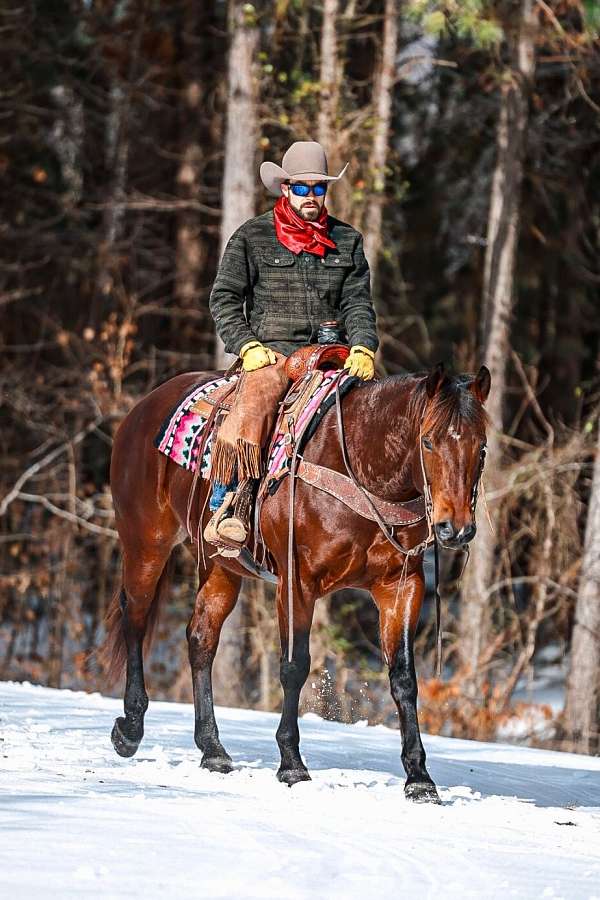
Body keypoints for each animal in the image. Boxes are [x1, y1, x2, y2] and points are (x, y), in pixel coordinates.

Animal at [103, 361, 490, 803]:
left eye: (481, 448)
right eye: (428, 441)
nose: (455, 529)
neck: (360, 470)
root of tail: (143, 407)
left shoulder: (401, 587)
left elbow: (404, 679)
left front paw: (420, 778)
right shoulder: (297, 583)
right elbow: (294, 666)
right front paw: (291, 763)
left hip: (220, 566)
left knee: (201, 638)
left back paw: (213, 750)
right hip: (146, 544)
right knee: (135, 618)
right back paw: (130, 728)